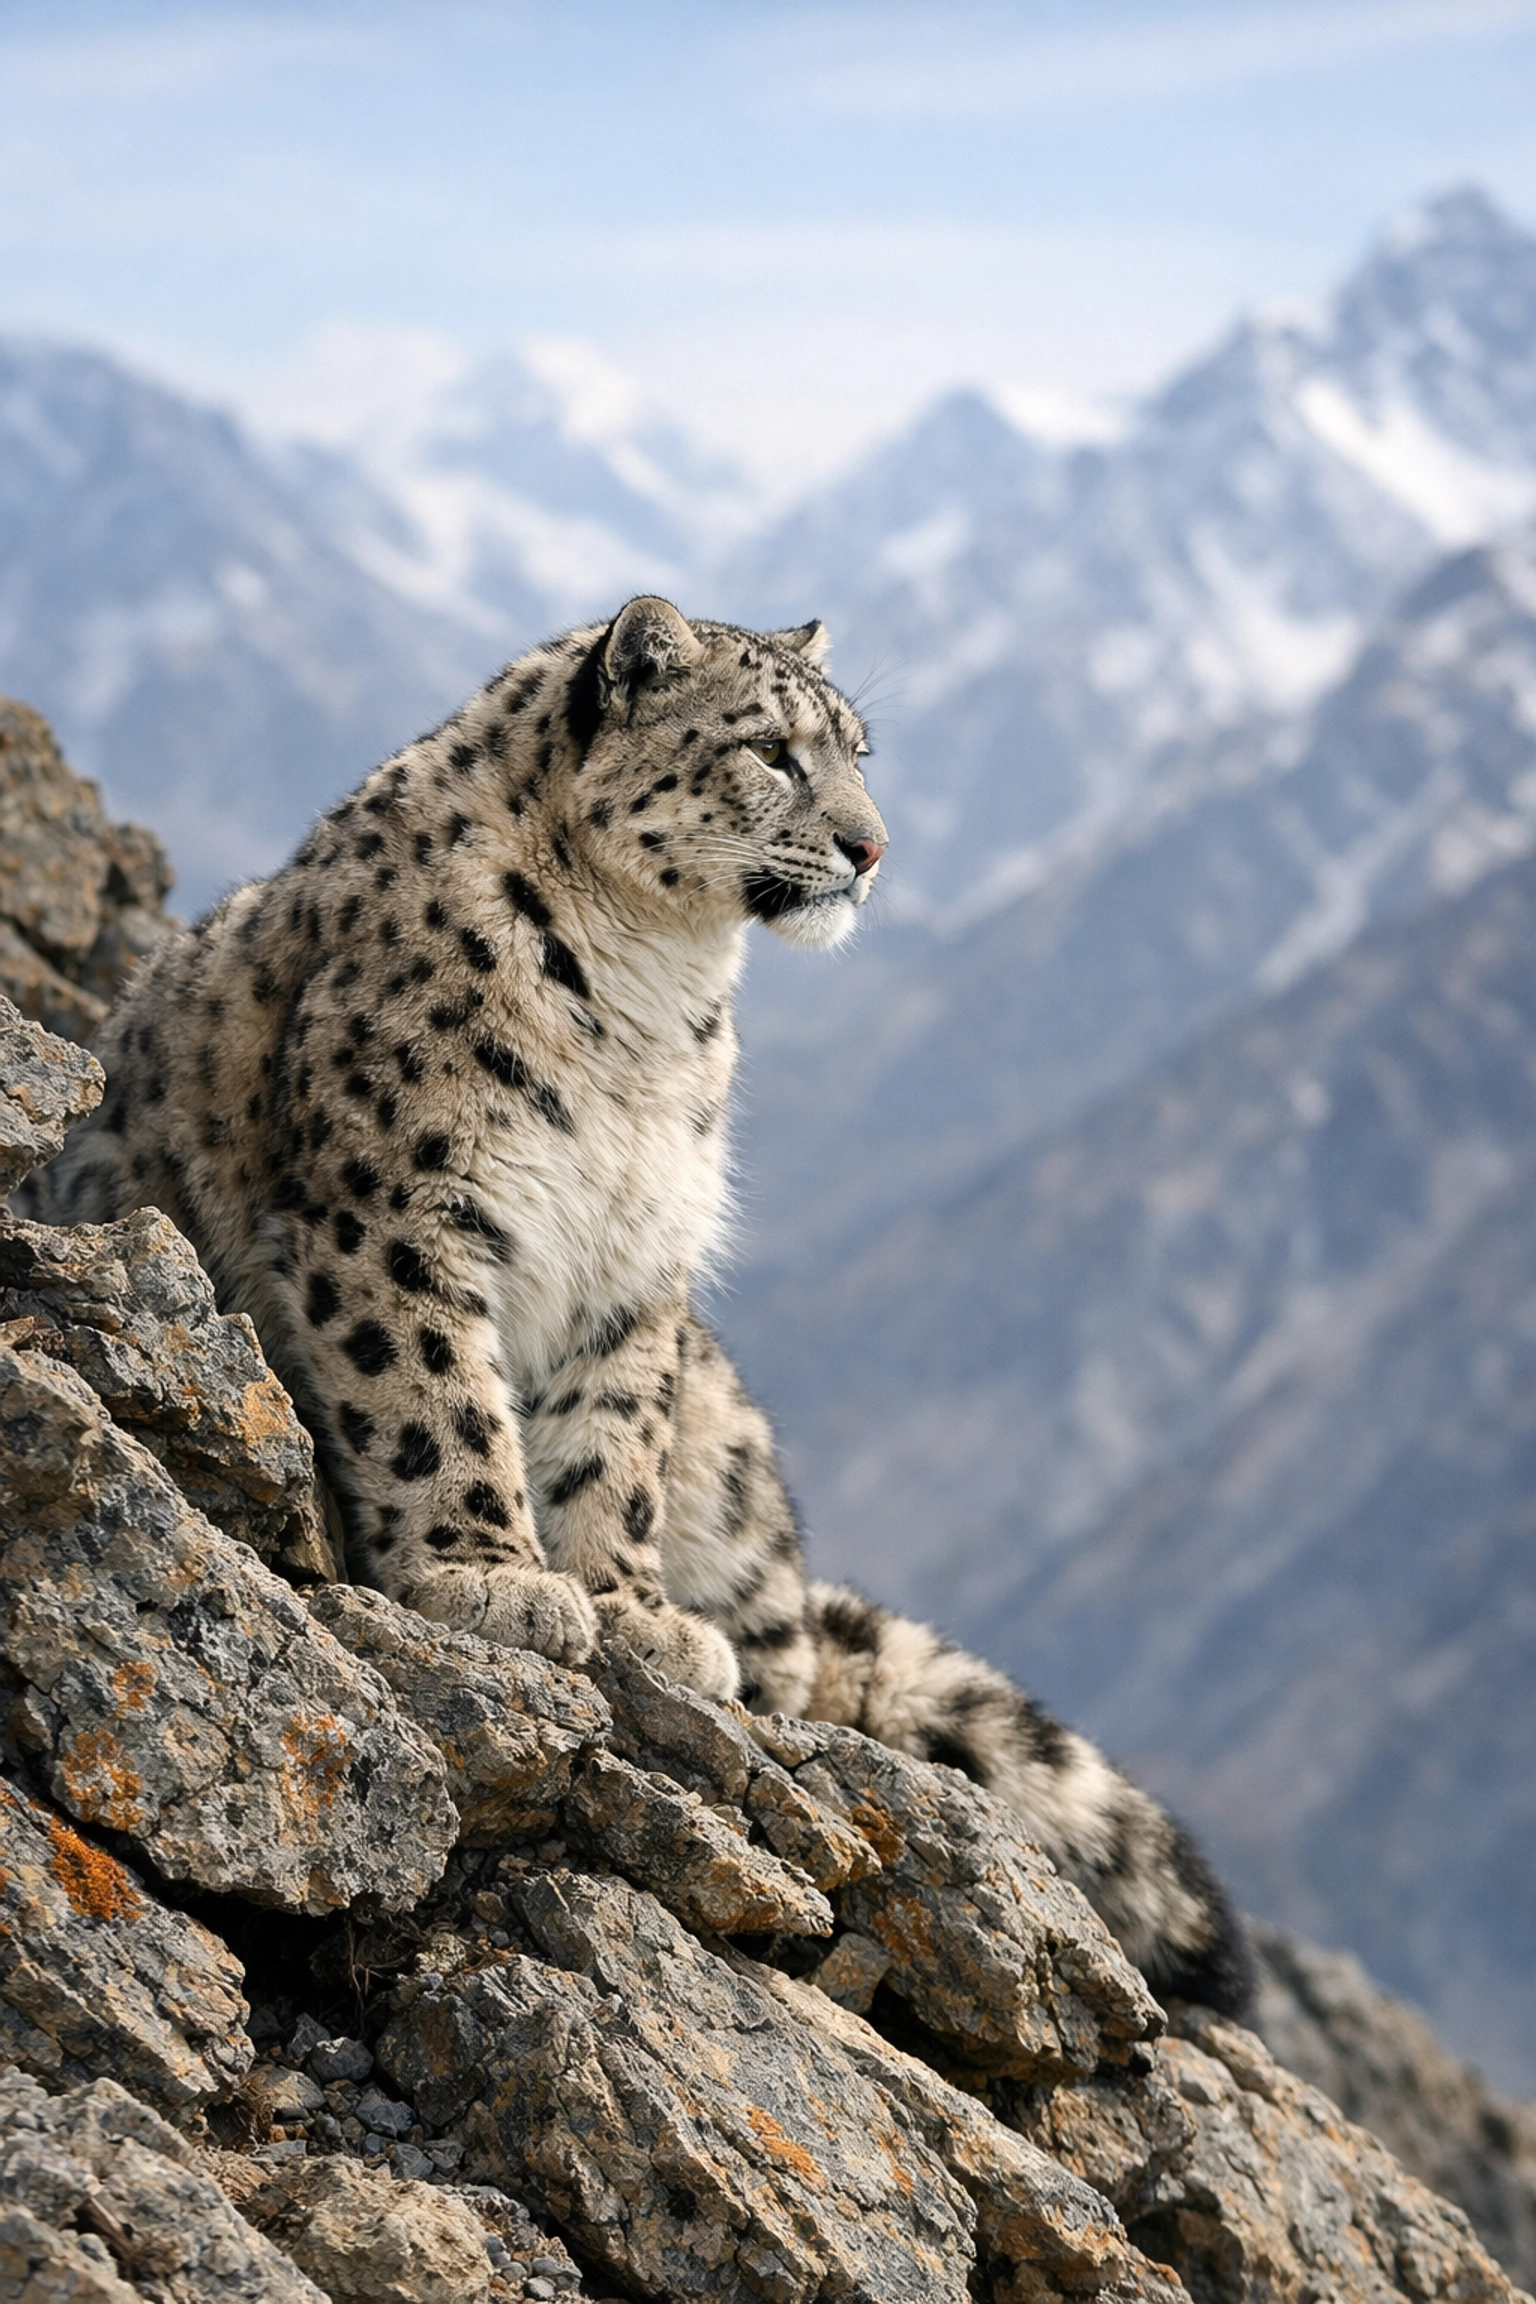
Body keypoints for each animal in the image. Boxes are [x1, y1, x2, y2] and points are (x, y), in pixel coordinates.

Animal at [45, 595, 1254, 2017]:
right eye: (772, 751)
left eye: (861, 753)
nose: (873, 847)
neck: (645, 1001)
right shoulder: (401, 1209)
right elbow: (435, 1403)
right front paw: (487, 1578)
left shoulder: (635, 1267)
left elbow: (611, 1444)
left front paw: (629, 1606)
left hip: (730, 1461)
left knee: (799, 1650)